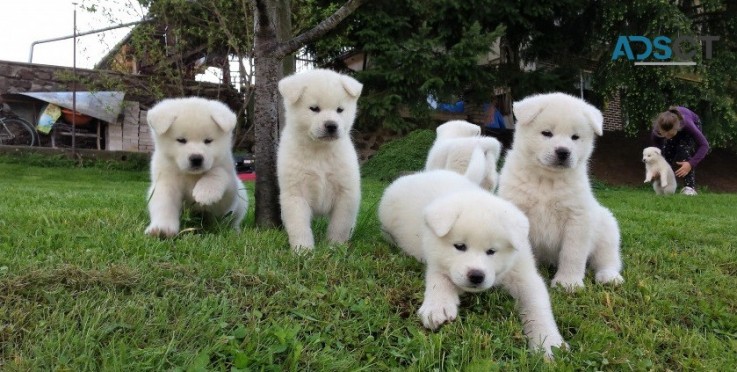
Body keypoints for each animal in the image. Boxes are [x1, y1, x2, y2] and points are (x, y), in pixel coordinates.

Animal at [144, 97, 247, 237]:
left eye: (208, 141)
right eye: (181, 140)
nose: (196, 158)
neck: (191, 176)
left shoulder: (227, 196)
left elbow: (218, 171)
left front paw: (206, 192)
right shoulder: (166, 182)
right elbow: (164, 205)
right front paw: (162, 229)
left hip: (241, 202)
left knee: (233, 221)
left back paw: (234, 231)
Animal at [276, 68, 362, 251]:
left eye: (340, 110)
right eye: (314, 108)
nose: (331, 125)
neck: (320, 151)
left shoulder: (346, 192)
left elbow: (340, 225)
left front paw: (335, 247)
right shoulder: (296, 193)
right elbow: (299, 225)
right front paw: (303, 250)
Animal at [376, 170, 568, 358]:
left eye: (492, 251)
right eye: (460, 246)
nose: (476, 275)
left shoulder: (523, 273)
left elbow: (537, 306)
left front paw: (548, 342)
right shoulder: (435, 257)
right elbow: (439, 279)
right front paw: (438, 306)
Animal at [498, 92, 624, 290]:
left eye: (575, 137)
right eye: (547, 133)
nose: (563, 152)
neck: (546, 181)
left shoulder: (577, 218)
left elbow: (572, 253)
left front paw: (568, 282)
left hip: (607, 230)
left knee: (608, 259)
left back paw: (609, 277)